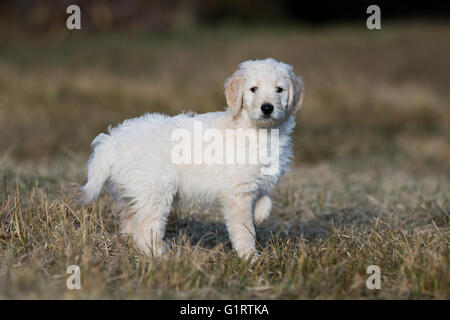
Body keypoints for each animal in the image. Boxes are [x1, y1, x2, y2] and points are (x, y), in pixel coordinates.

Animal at [73, 58, 302, 260]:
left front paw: (258, 217)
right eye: (253, 89)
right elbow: (244, 229)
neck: (259, 131)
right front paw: (250, 258)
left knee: (131, 221)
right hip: (155, 190)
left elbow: (266, 204)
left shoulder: (256, 184)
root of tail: (112, 139)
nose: (267, 108)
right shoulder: (238, 191)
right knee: (146, 228)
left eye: (279, 90)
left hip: (134, 191)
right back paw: (161, 255)